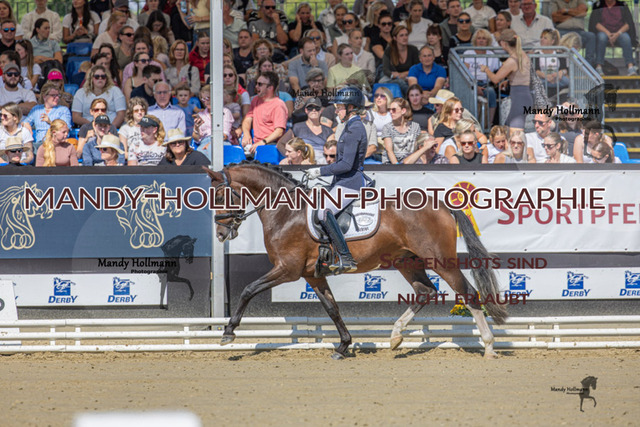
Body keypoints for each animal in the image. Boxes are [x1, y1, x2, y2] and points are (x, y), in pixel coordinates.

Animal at [206, 163, 507, 359]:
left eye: (220, 195)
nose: (220, 234)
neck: (286, 211)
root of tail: (442, 204)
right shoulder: (312, 274)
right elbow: (332, 308)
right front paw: (343, 346)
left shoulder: (287, 269)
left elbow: (248, 290)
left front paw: (228, 332)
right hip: (407, 260)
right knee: (425, 291)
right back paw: (395, 337)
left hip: (440, 260)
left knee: (467, 293)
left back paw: (489, 346)